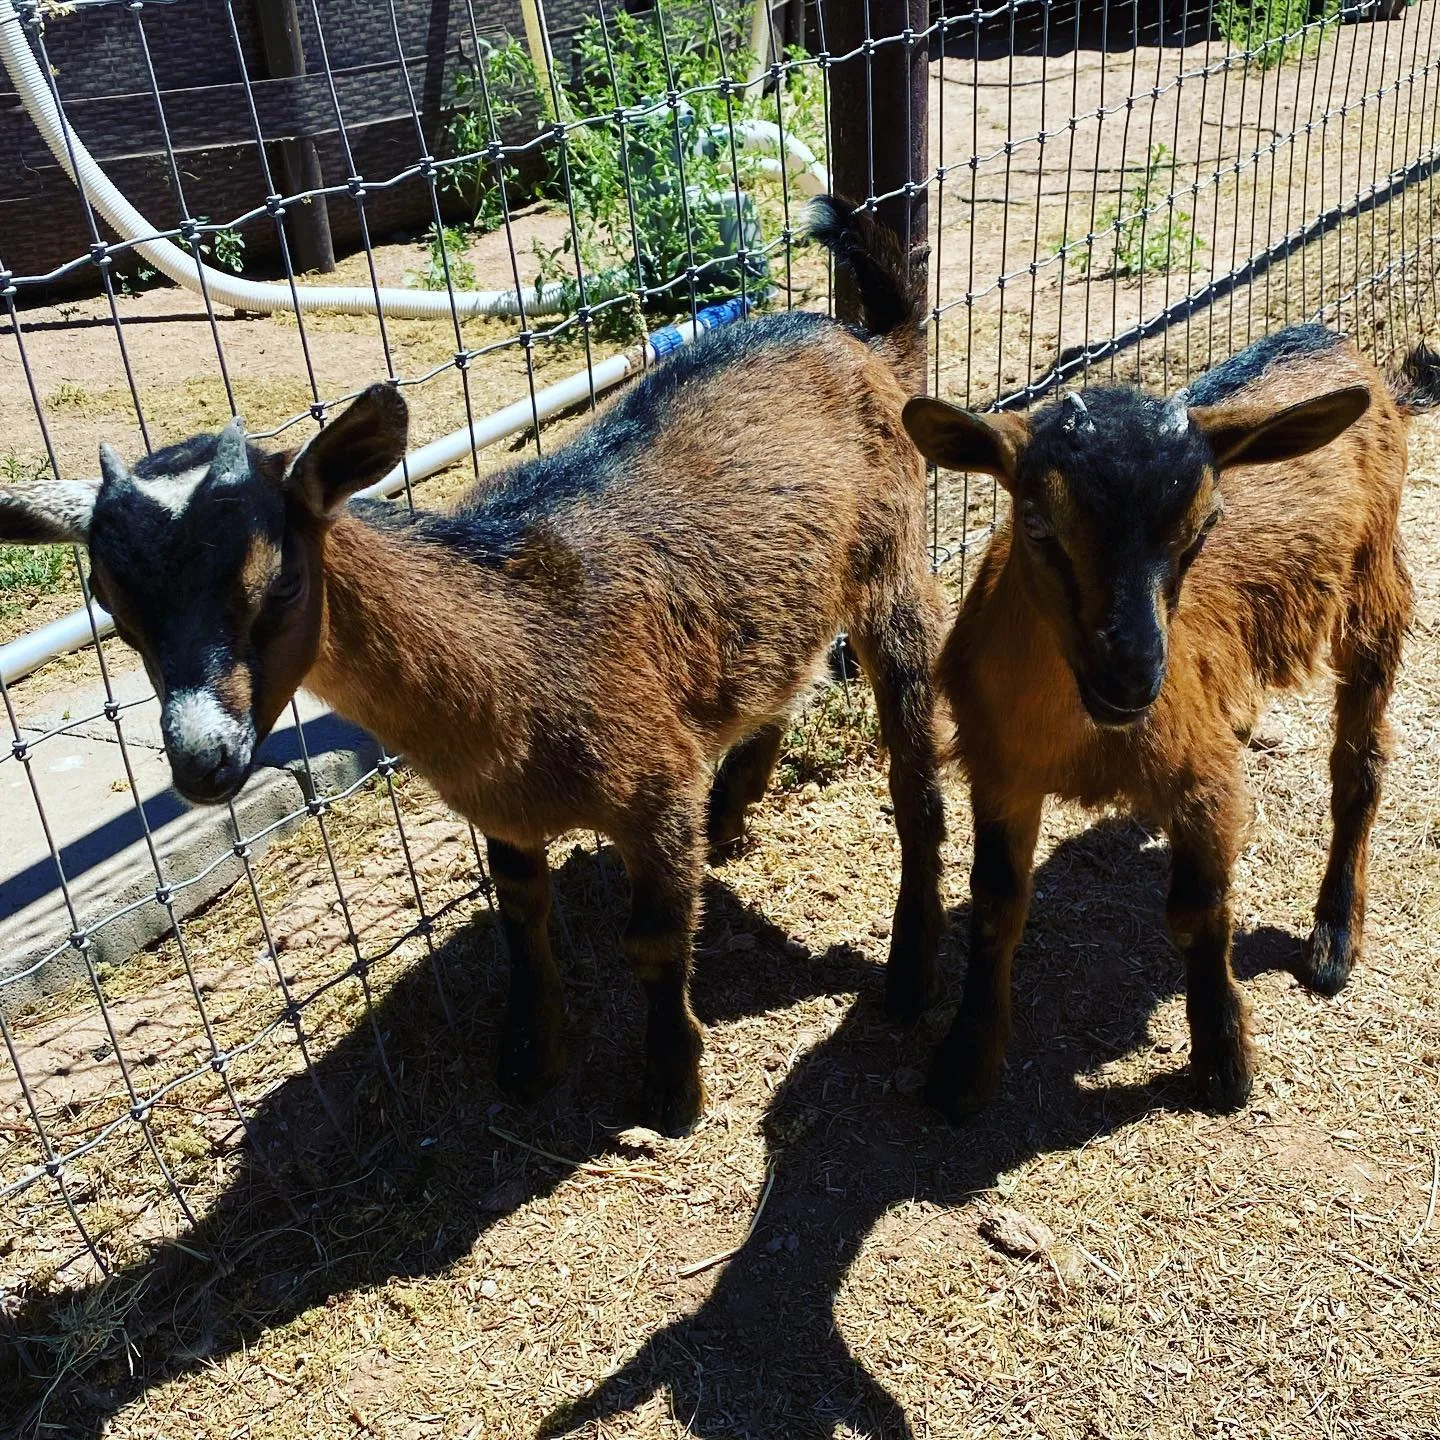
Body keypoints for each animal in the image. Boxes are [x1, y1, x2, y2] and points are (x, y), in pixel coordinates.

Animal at [0, 198, 946, 1136]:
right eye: (111, 604)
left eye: (281, 581)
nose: (203, 760)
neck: (514, 651)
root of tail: (866, 343)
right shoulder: (504, 810)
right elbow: (522, 919)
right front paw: (531, 1060)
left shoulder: (655, 789)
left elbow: (651, 939)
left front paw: (672, 1089)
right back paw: (735, 815)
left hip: (894, 561)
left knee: (913, 774)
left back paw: (908, 973)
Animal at [902, 325, 1436, 1120]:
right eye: (1036, 524)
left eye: (1204, 526)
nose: (1132, 675)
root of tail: (1323, 334)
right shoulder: (999, 773)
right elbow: (997, 901)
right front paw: (964, 1066)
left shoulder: (1200, 779)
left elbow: (1198, 910)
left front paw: (1223, 1065)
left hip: (1375, 589)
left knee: (1359, 765)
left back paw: (1334, 941)